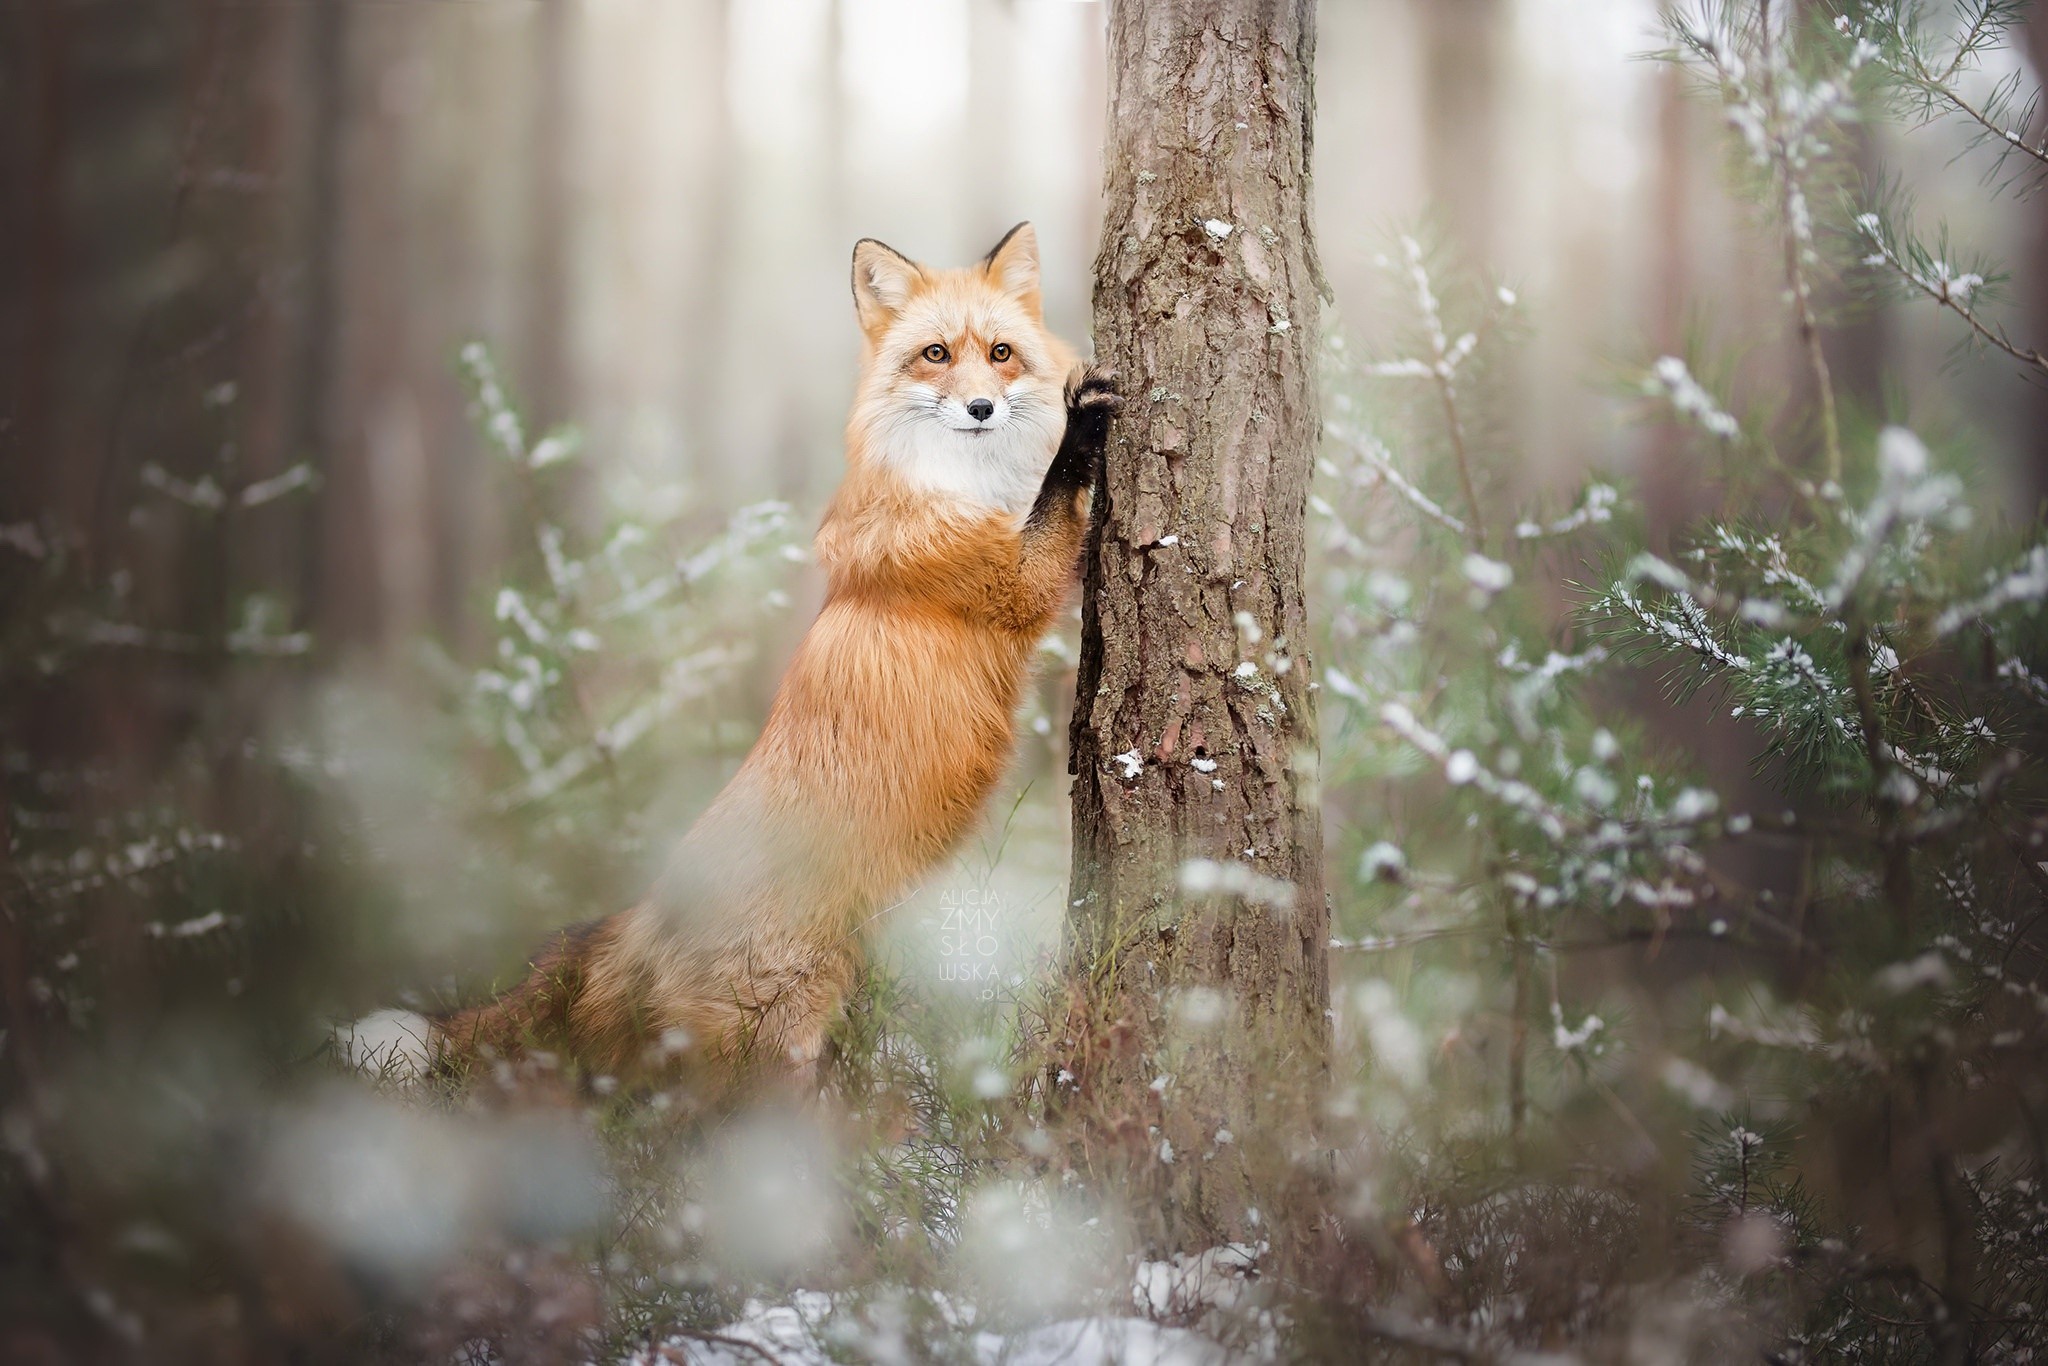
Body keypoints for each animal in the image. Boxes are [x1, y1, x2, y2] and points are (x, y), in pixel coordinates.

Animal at [346, 222, 1118, 1088]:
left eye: (1001, 352)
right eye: (935, 355)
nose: (982, 406)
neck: (970, 485)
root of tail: (644, 915)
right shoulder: (1007, 581)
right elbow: (1057, 500)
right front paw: (1083, 426)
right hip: (774, 1045)